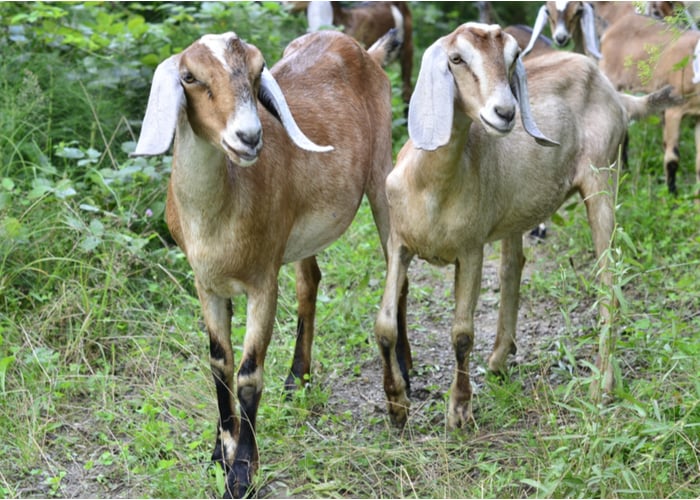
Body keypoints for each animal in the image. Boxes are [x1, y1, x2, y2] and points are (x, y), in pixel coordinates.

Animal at [133, 29, 402, 498]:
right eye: (189, 76)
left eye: (258, 70)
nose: (248, 137)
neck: (218, 216)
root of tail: (364, 51)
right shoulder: (206, 284)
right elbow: (219, 364)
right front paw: (218, 452)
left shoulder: (262, 282)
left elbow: (248, 375)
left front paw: (241, 473)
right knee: (310, 281)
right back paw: (298, 380)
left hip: (381, 172)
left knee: (395, 263)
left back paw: (403, 379)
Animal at [374, 22, 680, 430]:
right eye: (456, 59)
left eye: (513, 57)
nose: (505, 112)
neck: (431, 187)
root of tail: (615, 94)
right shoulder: (398, 244)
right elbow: (385, 325)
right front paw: (396, 405)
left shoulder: (470, 250)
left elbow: (462, 334)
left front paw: (459, 410)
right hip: (516, 212)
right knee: (513, 267)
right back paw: (500, 358)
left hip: (603, 176)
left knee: (608, 280)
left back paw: (602, 387)